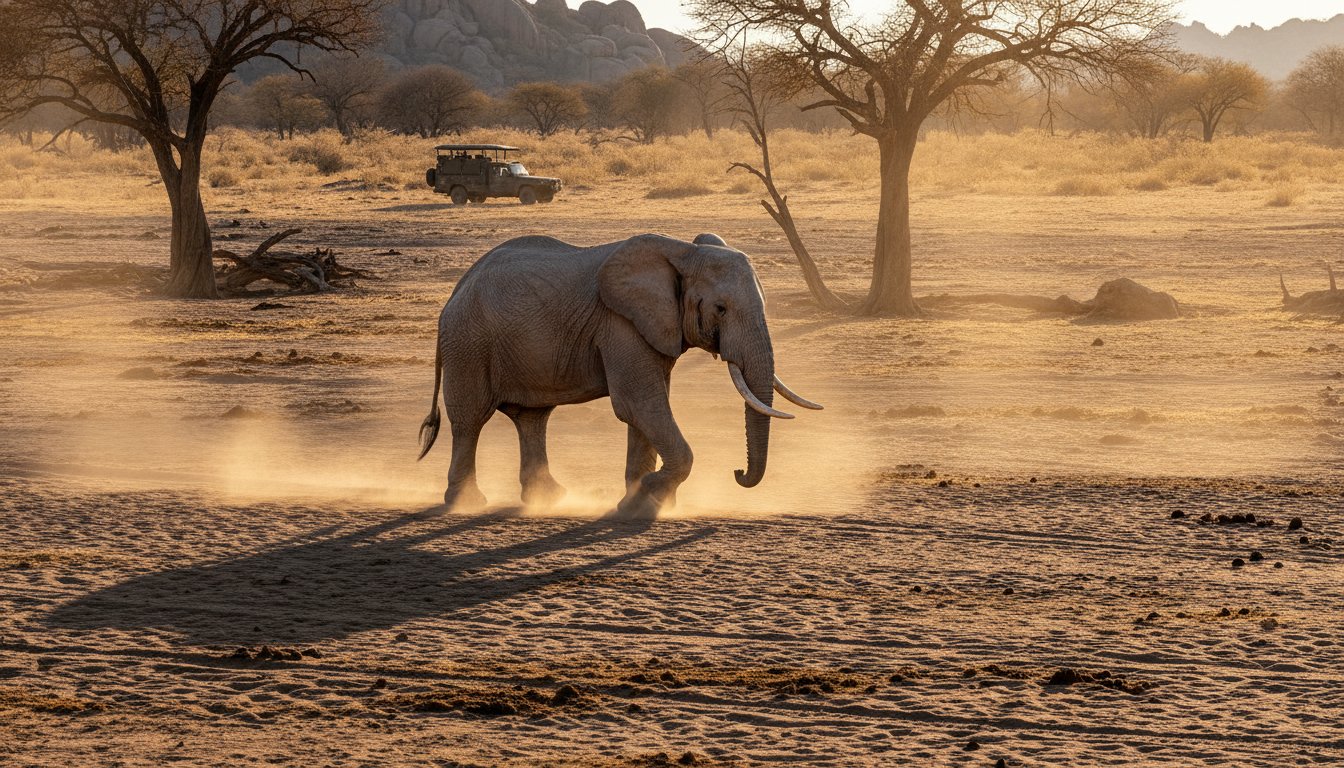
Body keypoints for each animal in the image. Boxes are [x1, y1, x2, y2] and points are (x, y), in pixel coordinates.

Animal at [417, 232, 822, 518]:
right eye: (720, 309)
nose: (737, 472)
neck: (682, 252)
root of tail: (456, 290)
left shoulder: (652, 326)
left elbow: (646, 409)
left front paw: (639, 502)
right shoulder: (621, 323)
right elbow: (638, 403)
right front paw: (647, 496)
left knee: (532, 418)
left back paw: (548, 499)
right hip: (468, 344)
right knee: (470, 420)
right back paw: (467, 502)